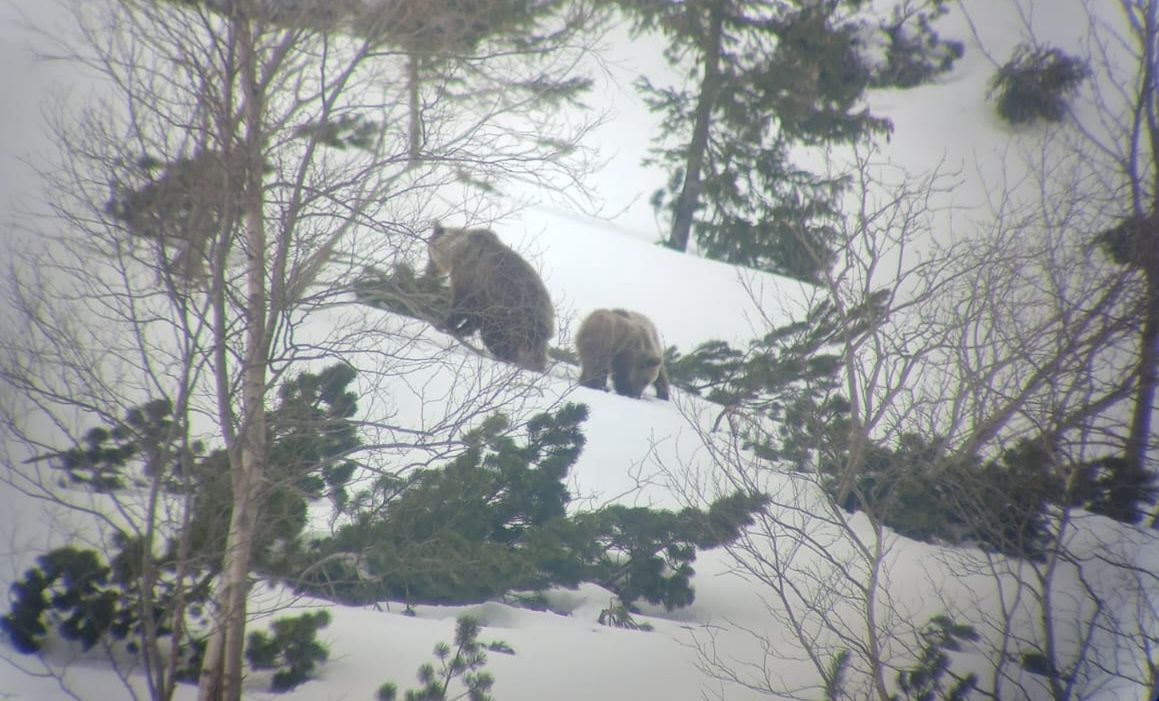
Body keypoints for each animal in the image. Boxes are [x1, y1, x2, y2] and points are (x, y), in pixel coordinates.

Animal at [426, 223, 551, 370]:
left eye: (428, 252)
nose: (428, 271)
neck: (456, 249)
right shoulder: (482, 295)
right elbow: (474, 315)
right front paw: (461, 330)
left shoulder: (470, 275)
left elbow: (462, 304)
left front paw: (444, 323)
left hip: (513, 317)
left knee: (493, 335)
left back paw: (508, 358)